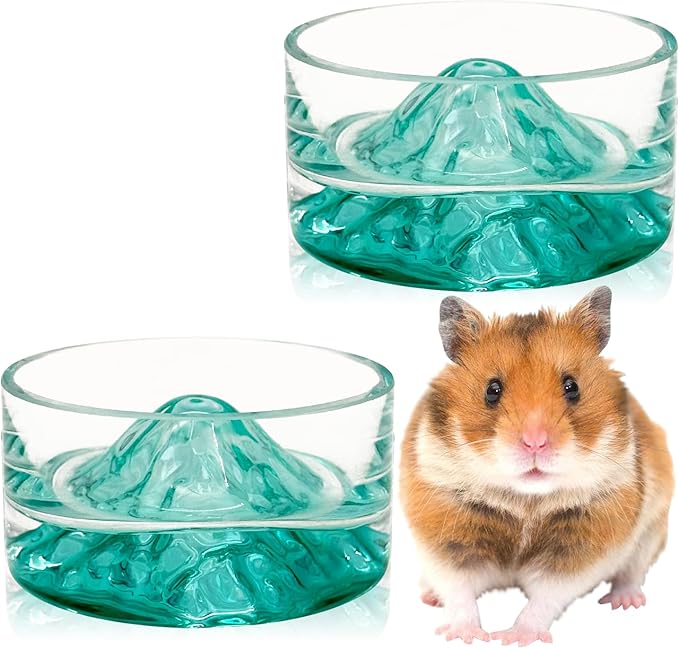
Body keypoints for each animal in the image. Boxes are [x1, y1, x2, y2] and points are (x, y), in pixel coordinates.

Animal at [400, 287, 673, 646]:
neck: (525, 501)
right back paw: (430, 596)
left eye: (572, 387)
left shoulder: (583, 545)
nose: (535, 443)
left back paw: (625, 602)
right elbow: (458, 590)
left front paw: (513, 637)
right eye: (492, 390)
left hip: (653, 530)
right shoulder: (444, 533)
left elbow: (546, 597)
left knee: (632, 572)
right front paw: (464, 636)